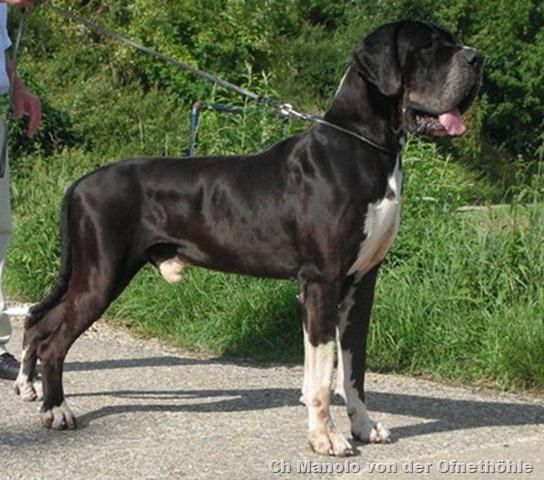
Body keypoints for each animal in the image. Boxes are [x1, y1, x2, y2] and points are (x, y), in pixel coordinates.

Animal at [15, 21, 482, 456]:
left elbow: (353, 368)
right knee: (54, 340)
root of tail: (80, 183)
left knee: (39, 319)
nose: (477, 59)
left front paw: (364, 426)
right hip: (102, 274)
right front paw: (325, 438)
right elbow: (323, 370)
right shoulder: (322, 281)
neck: (364, 147)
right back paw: (57, 409)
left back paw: (29, 387)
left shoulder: (361, 283)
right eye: (429, 47)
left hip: (91, 274)